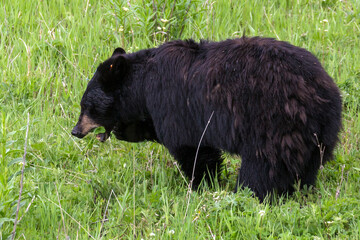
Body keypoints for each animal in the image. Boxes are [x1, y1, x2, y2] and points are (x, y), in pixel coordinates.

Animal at [71, 36, 340, 201]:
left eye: (86, 106)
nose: (75, 131)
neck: (142, 85)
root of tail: (320, 93)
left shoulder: (174, 104)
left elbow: (192, 148)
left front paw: (199, 184)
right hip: (316, 136)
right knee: (306, 167)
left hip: (271, 123)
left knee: (262, 166)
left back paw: (247, 194)